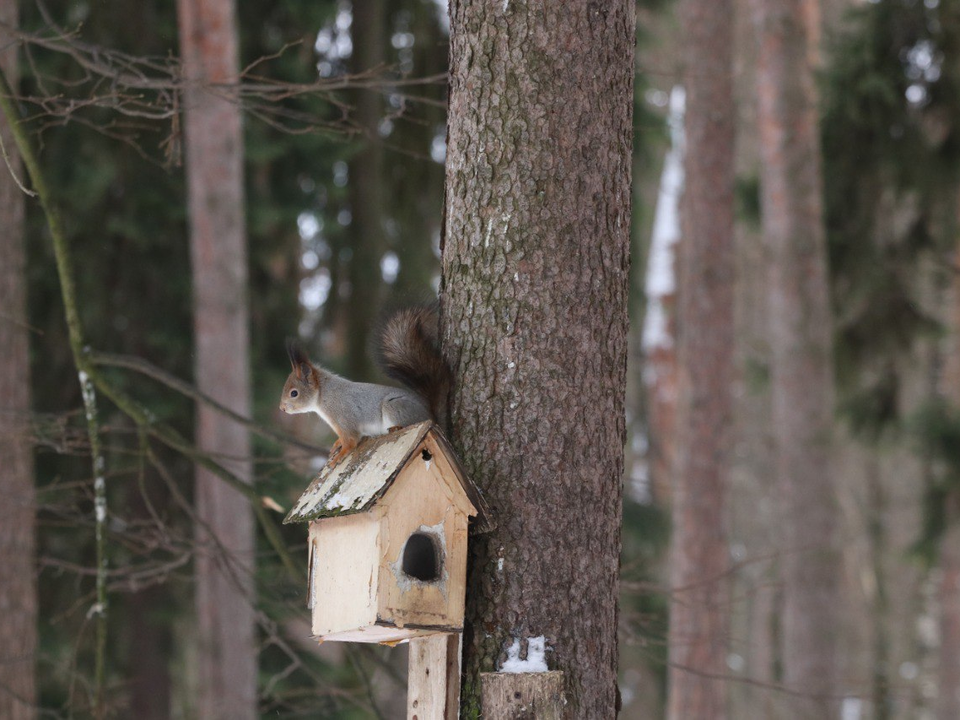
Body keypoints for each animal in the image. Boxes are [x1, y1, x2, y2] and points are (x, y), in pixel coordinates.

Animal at [280, 306, 452, 466]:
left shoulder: (343, 417)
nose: (281, 408)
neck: (324, 394)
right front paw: (337, 443)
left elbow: (351, 441)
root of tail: (432, 416)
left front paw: (338, 457)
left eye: (294, 393)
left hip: (396, 406)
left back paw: (396, 428)